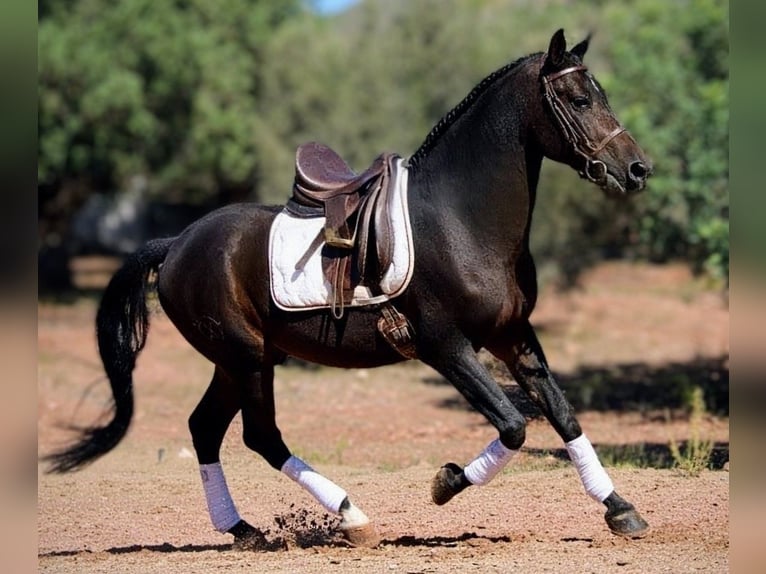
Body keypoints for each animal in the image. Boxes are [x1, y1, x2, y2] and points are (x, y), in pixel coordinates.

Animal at [44, 29, 653, 548]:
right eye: (579, 99)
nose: (638, 169)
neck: (461, 217)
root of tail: (176, 244)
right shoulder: (445, 346)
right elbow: (515, 427)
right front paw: (445, 482)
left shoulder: (514, 336)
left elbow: (563, 416)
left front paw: (621, 510)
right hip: (245, 357)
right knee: (261, 436)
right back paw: (352, 517)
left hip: (242, 359)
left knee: (206, 429)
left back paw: (243, 529)